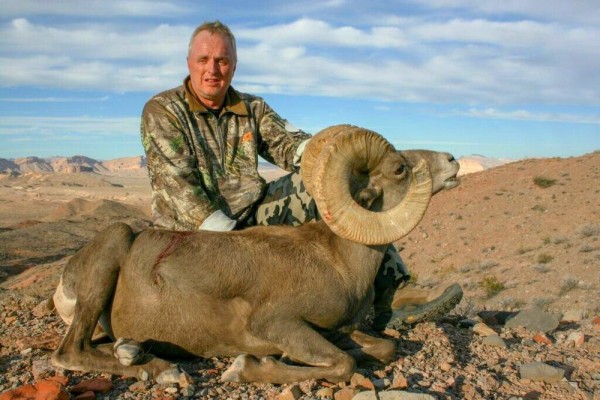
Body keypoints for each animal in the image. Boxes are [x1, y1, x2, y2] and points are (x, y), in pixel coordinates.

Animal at [51, 125, 460, 384]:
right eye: (399, 168)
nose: (454, 161)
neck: (341, 263)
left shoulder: (342, 332)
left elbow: (385, 347)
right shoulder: (278, 324)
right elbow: (344, 365)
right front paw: (246, 368)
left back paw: (131, 350)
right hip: (112, 247)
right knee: (69, 353)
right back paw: (160, 370)